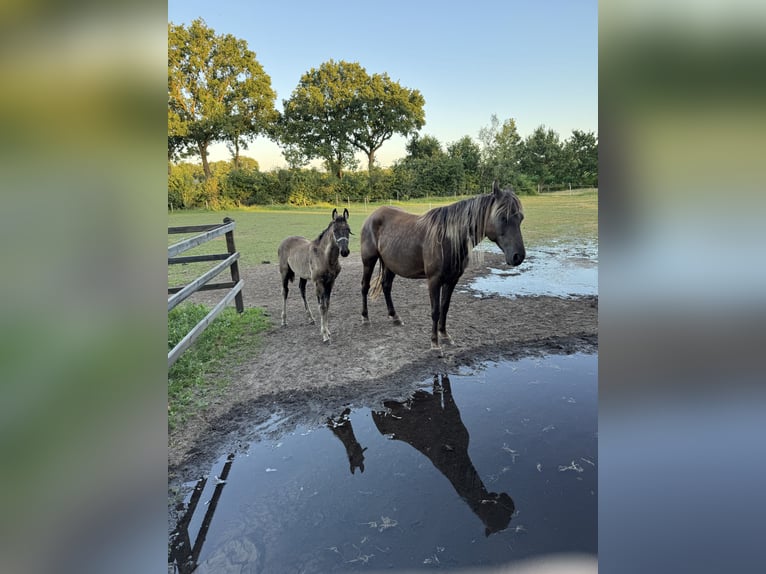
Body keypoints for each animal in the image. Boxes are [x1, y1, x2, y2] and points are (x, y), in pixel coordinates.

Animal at [278, 208, 350, 342]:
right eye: (335, 231)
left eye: (348, 229)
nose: (345, 251)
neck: (325, 257)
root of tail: (284, 240)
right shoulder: (318, 283)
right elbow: (322, 307)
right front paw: (324, 335)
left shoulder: (330, 282)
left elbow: (327, 305)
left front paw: (327, 331)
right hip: (284, 272)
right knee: (285, 292)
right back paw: (284, 320)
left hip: (302, 275)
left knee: (302, 290)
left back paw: (310, 318)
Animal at [360, 181, 525, 350]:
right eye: (502, 217)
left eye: (521, 218)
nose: (518, 256)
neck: (448, 238)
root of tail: (373, 215)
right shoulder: (434, 281)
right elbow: (435, 311)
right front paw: (434, 342)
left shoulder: (452, 280)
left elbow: (444, 308)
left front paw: (445, 335)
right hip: (369, 261)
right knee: (365, 286)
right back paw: (365, 318)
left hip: (390, 264)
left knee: (386, 286)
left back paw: (395, 317)